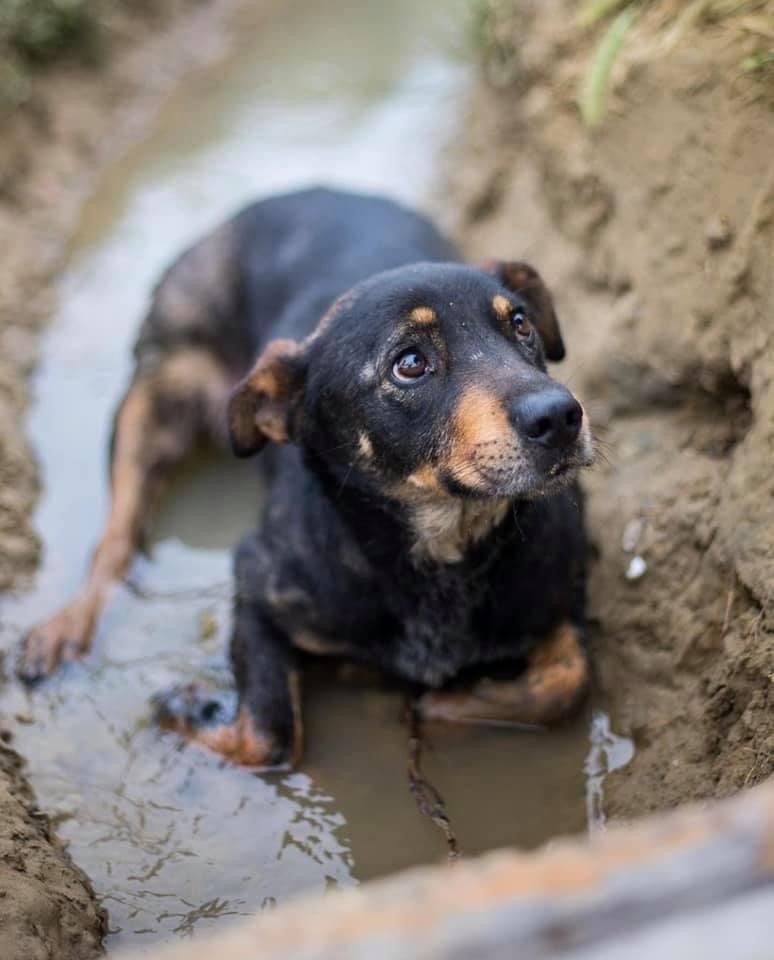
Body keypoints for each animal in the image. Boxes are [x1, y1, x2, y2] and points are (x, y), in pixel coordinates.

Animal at [18, 191, 596, 768]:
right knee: (116, 536)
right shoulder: (254, 582)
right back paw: (65, 628)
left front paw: (444, 701)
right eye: (410, 363)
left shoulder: (563, 586)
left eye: (520, 324)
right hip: (153, 399)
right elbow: (268, 733)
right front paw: (186, 709)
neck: (440, 555)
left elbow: (567, 681)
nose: (561, 416)